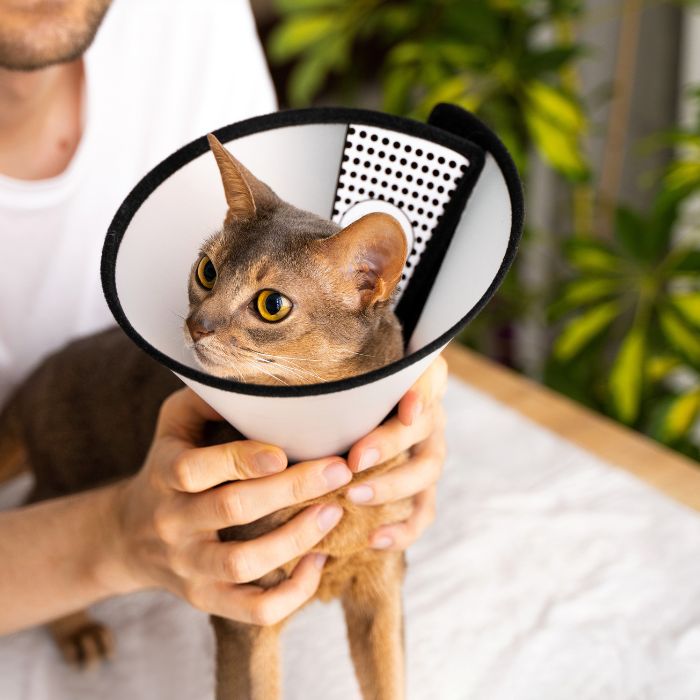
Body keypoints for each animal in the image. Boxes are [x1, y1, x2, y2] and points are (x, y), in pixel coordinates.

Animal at [0, 133, 412, 700]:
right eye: (207, 271)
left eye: (272, 305)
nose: (198, 325)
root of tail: (34, 377)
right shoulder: (249, 610)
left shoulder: (383, 578)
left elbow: (390, 678)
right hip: (66, 475)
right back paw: (78, 630)